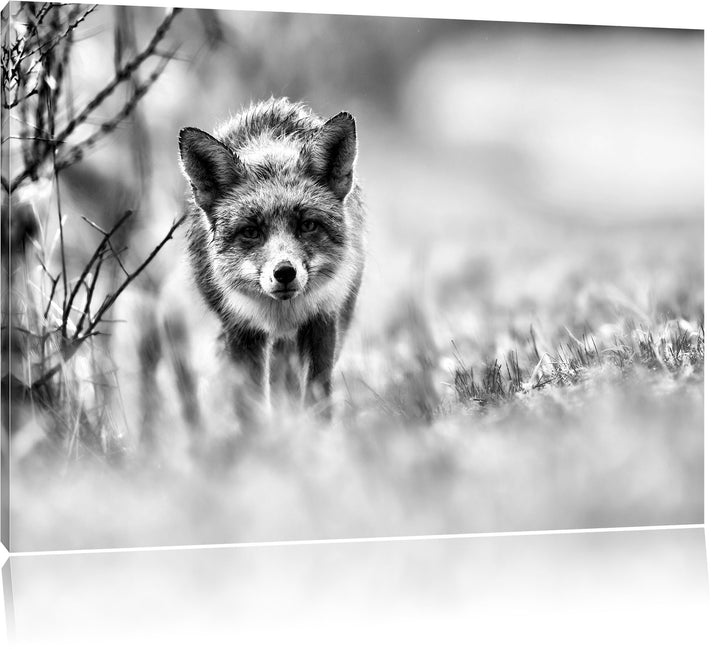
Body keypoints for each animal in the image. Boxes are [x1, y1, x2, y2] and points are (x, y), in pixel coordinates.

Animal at [176, 97, 365, 426]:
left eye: (307, 225)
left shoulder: (322, 320)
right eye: (251, 231)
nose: (285, 272)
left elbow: (317, 397)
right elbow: (249, 406)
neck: (282, 313)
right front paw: (261, 439)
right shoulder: (241, 329)